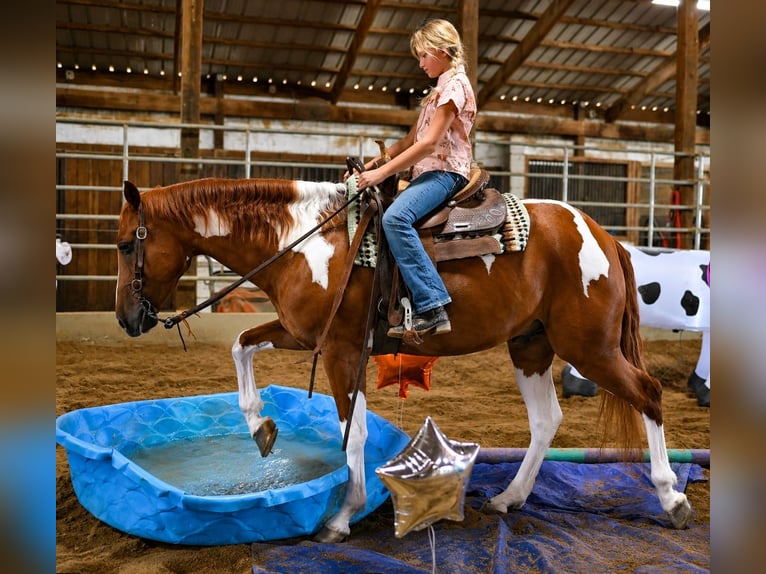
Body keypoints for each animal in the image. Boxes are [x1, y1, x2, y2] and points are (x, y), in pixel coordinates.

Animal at [115, 176, 692, 543]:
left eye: (124, 245)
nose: (126, 318)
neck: (305, 243)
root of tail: (603, 235)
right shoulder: (304, 335)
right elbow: (241, 344)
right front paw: (261, 428)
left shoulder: (342, 351)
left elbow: (355, 433)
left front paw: (342, 516)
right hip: (531, 345)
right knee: (547, 420)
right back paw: (509, 498)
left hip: (590, 348)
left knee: (649, 394)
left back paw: (672, 499)